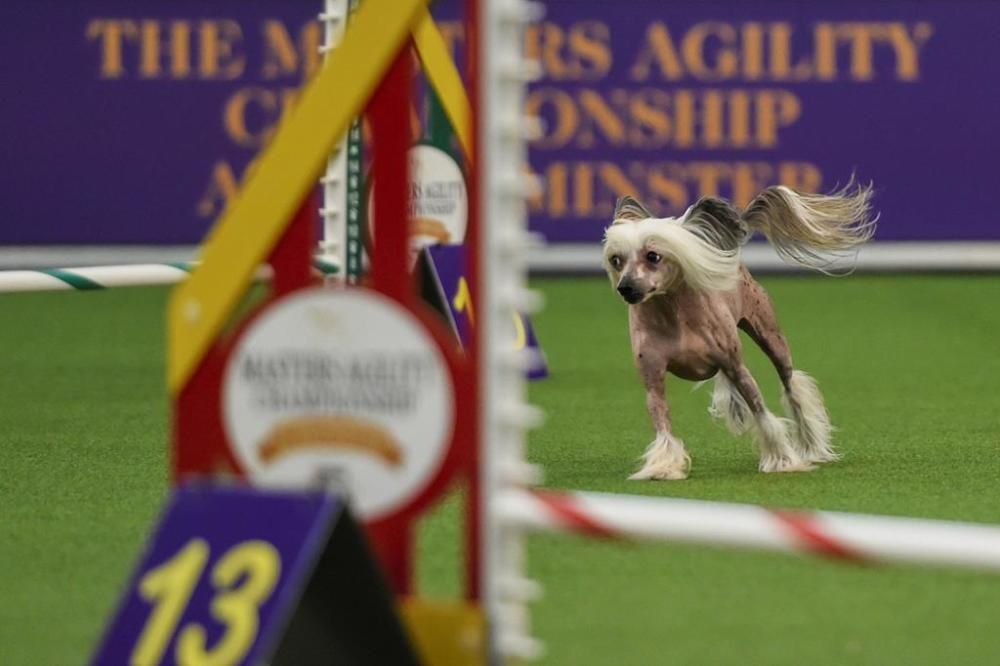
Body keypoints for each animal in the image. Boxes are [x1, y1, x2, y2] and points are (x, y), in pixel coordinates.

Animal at [600, 183, 876, 478]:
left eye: (653, 256)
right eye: (616, 260)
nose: (626, 288)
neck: (673, 315)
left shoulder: (738, 368)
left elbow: (762, 413)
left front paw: (782, 460)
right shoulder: (653, 381)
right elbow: (663, 426)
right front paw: (663, 467)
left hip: (772, 340)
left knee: (791, 387)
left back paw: (810, 444)